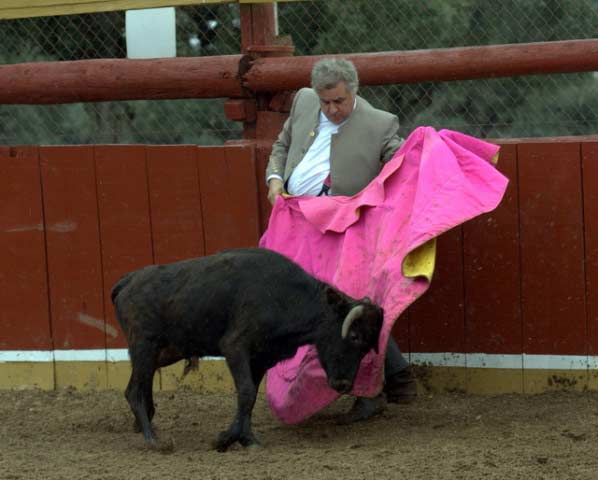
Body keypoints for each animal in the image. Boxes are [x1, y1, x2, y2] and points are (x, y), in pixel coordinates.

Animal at [112, 248, 384, 450]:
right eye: (354, 336)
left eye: (367, 348)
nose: (344, 385)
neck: (284, 296)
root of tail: (127, 280)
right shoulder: (235, 347)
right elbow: (246, 392)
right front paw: (228, 439)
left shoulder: (262, 358)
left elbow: (250, 395)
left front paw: (243, 438)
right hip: (145, 344)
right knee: (134, 390)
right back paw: (152, 440)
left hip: (164, 352)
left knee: (138, 383)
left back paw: (143, 423)